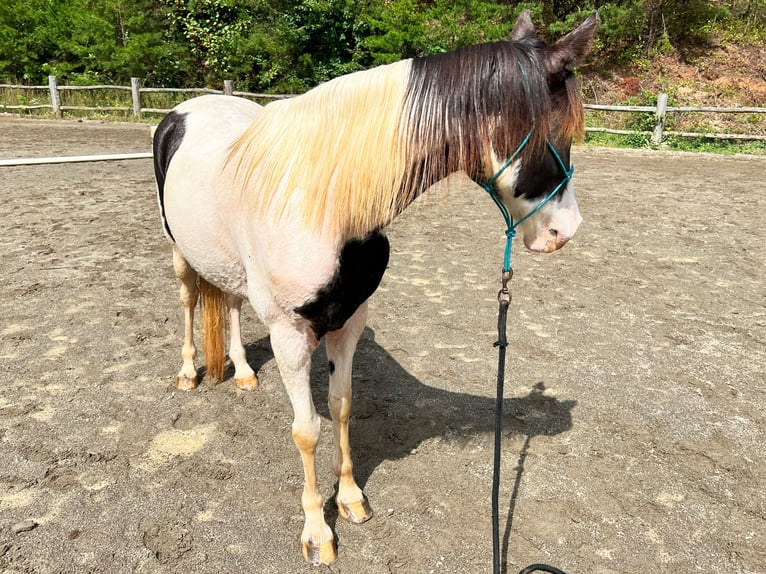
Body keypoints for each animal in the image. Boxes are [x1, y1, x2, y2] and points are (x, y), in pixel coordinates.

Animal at [152, 10, 599, 565]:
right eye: (556, 130)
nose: (565, 231)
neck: (323, 203)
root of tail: (187, 109)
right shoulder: (289, 335)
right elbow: (307, 430)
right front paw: (317, 531)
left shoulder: (349, 321)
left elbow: (341, 407)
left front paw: (349, 499)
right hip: (179, 253)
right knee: (190, 300)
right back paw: (188, 372)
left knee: (231, 302)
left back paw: (242, 372)